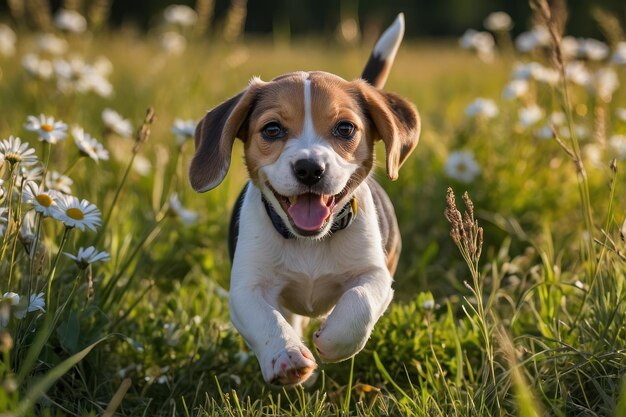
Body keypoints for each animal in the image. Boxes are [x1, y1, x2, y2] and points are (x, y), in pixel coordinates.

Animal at [188, 14, 416, 386]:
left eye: (345, 128)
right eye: (272, 130)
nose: (310, 168)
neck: (309, 242)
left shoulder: (376, 274)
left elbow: (360, 302)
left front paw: (333, 339)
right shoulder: (246, 289)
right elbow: (267, 319)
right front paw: (287, 355)